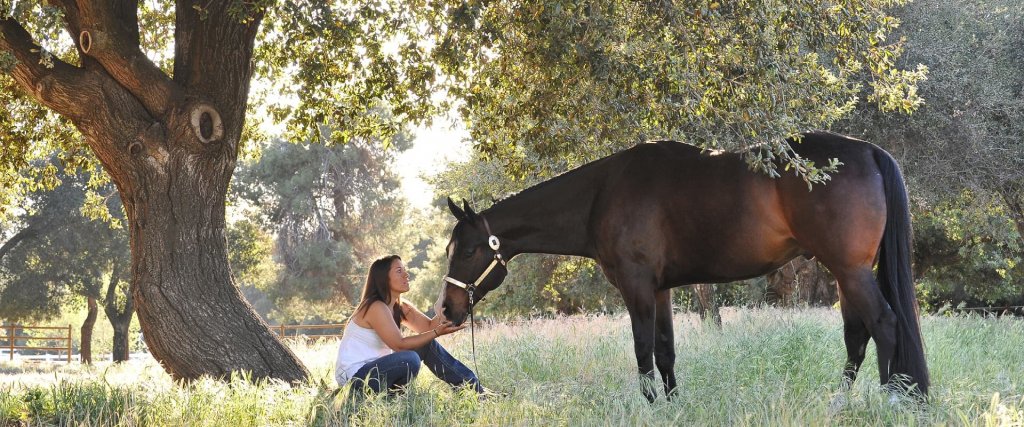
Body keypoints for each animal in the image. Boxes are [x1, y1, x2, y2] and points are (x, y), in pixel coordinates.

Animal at [438, 131, 929, 401]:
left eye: (467, 251)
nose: (446, 309)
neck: (602, 195)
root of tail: (868, 151)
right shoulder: (660, 289)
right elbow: (665, 350)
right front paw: (673, 406)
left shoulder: (636, 285)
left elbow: (642, 351)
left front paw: (652, 405)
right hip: (847, 274)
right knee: (857, 338)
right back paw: (838, 403)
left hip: (851, 271)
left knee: (884, 325)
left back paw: (889, 401)